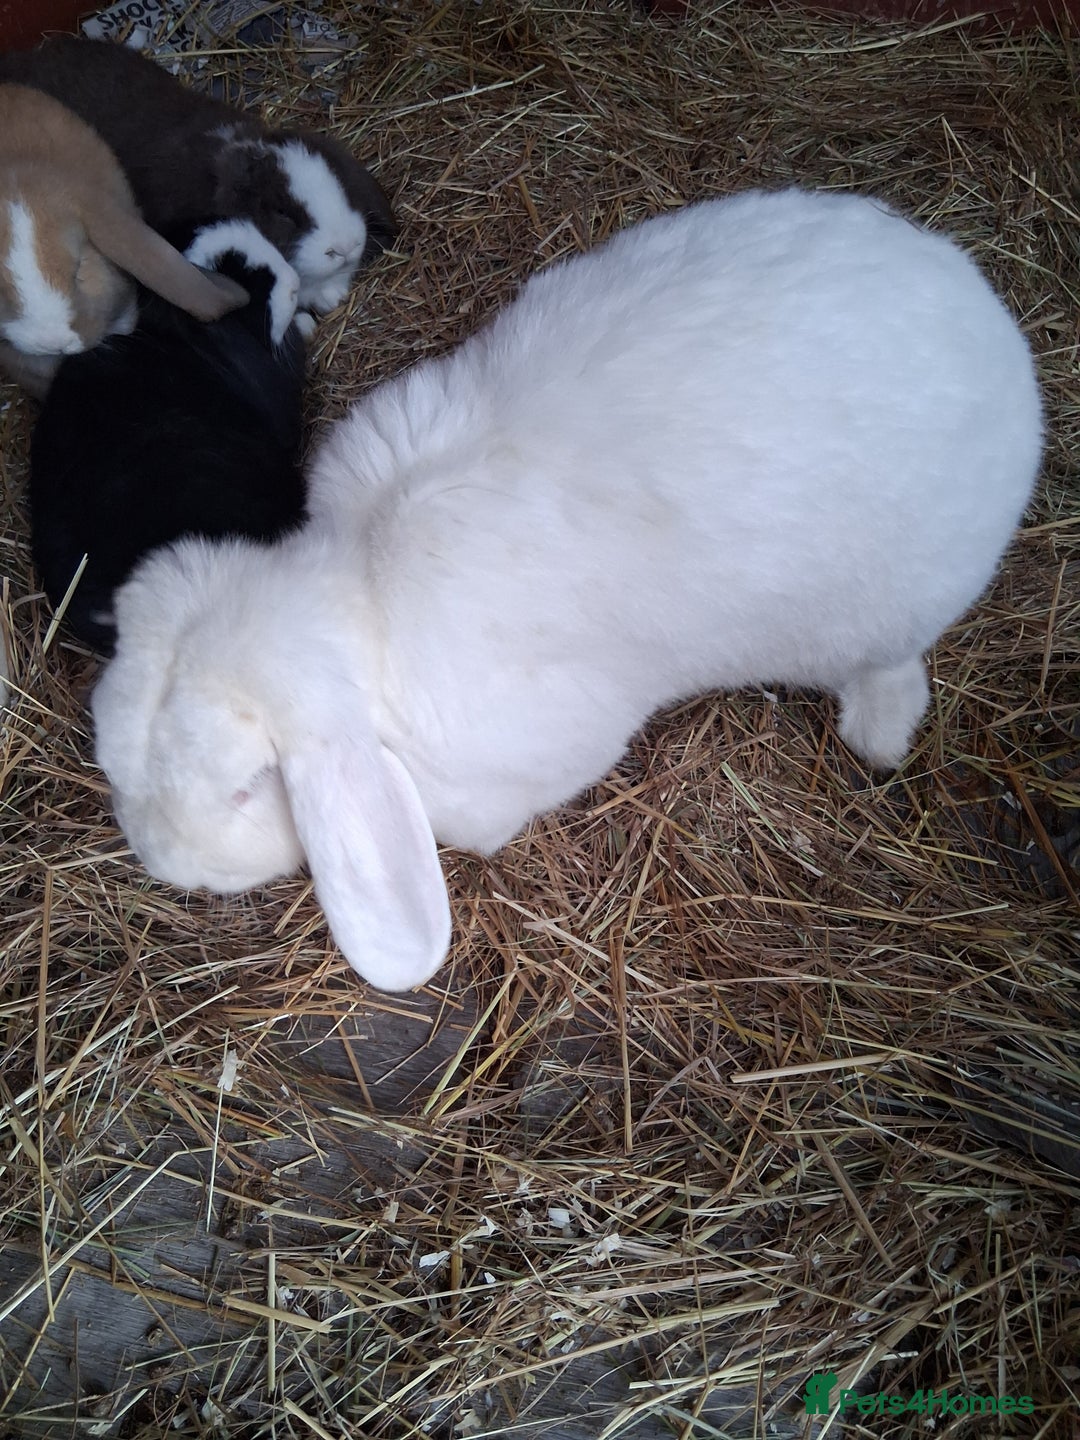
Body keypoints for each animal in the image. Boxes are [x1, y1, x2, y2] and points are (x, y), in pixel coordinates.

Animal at [90, 187, 1043, 993]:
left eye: (248, 786)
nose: (160, 860)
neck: (361, 601)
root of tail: (991, 327)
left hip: (889, 609)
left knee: (892, 666)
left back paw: (877, 734)